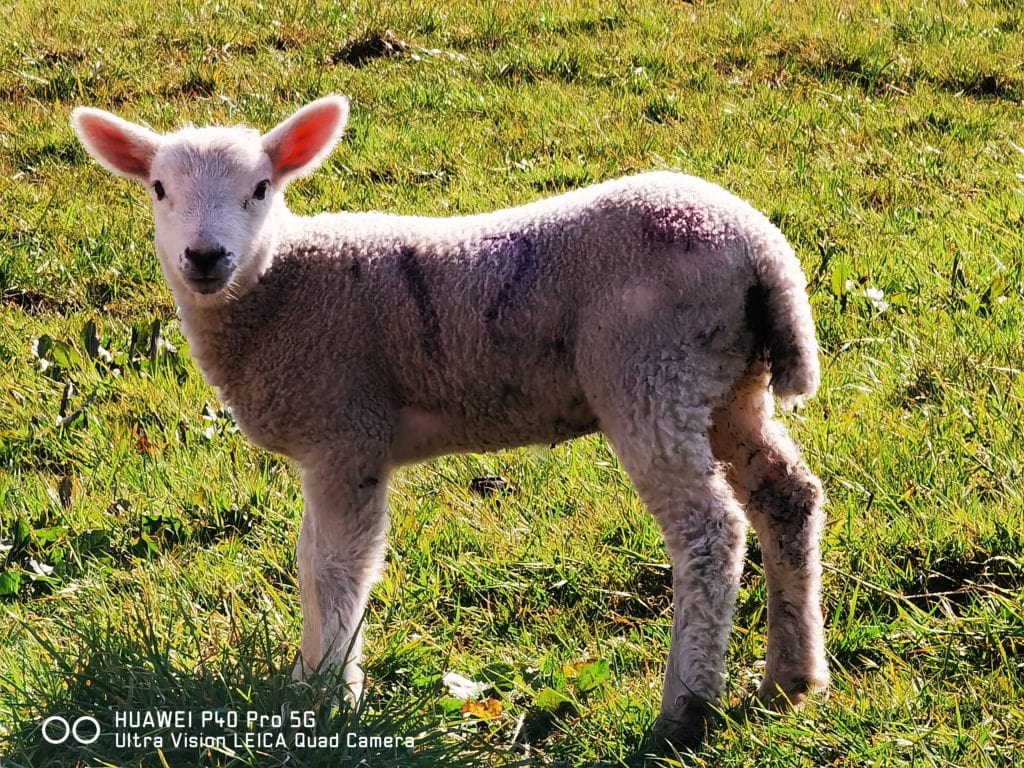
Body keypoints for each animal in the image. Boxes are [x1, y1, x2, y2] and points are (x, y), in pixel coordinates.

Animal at [71, 95, 829, 749]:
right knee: (787, 497)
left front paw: (332, 695)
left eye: (260, 189)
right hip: (728, 385)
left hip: (649, 371)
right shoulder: (327, 446)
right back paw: (789, 678)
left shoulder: (348, 432)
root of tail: (763, 251)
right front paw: (303, 684)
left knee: (708, 532)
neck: (280, 287)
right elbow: (309, 560)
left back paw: (686, 709)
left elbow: (340, 566)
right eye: (159, 189)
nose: (205, 256)